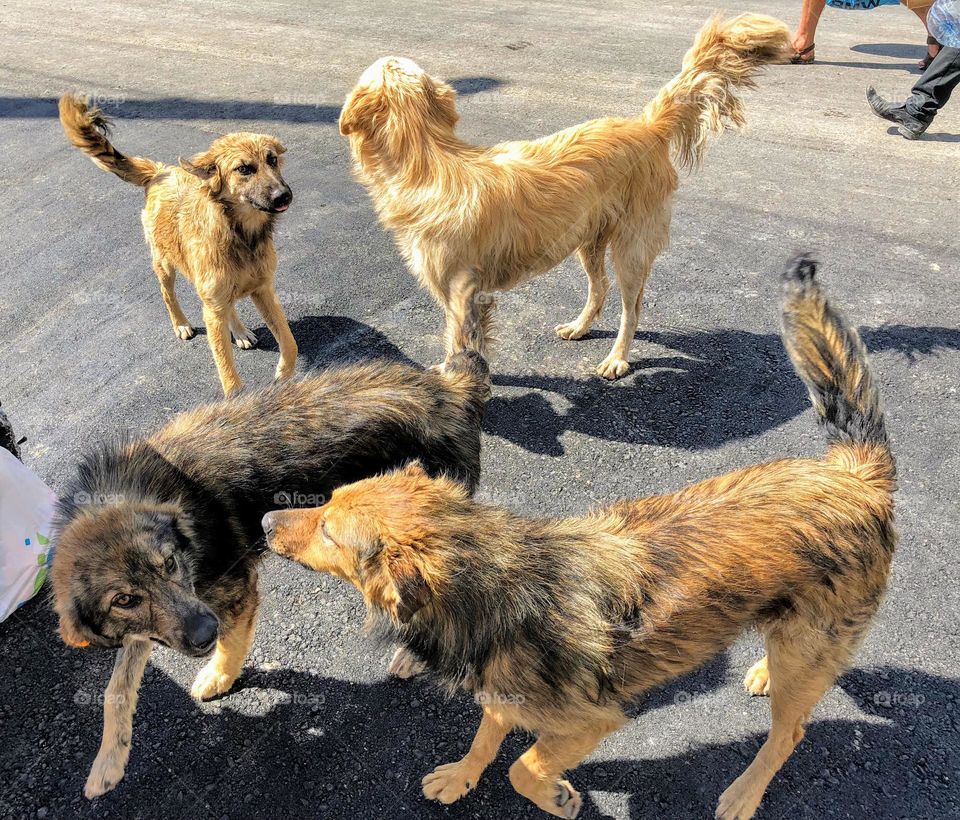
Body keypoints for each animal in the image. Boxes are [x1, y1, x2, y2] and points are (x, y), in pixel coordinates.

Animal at [342, 13, 792, 378]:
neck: (429, 158)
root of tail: (647, 125)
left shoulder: (461, 296)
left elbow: (459, 345)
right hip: (587, 239)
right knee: (601, 288)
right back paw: (580, 327)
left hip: (631, 247)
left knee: (632, 308)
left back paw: (617, 359)